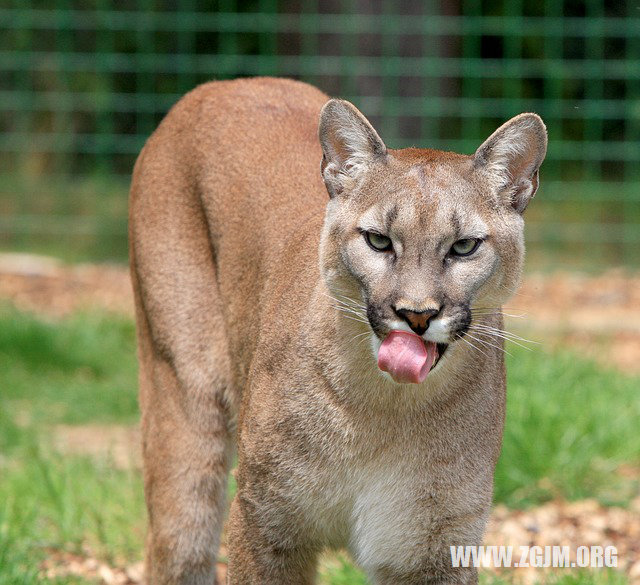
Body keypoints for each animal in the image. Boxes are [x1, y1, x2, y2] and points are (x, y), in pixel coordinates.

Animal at [129, 77, 544, 584]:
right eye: (379, 241)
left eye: (464, 247)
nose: (417, 315)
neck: (385, 408)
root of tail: (225, 84)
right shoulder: (265, 522)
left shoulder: (434, 546)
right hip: (184, 398)